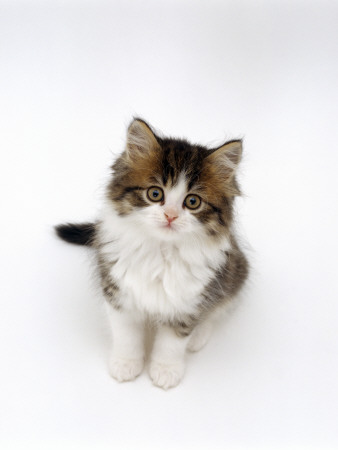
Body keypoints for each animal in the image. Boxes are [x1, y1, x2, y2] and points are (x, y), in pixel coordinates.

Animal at [56, 119, 248, 390]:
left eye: (192, 202)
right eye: (155, 194)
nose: (170, 215)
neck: (161, 252)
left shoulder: (188, 301)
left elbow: (172, 342)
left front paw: (166, 371)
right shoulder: (118, 292)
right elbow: (126, 335)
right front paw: (126, 364)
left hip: (236, 271)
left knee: (218, 307)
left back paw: (198, 336)